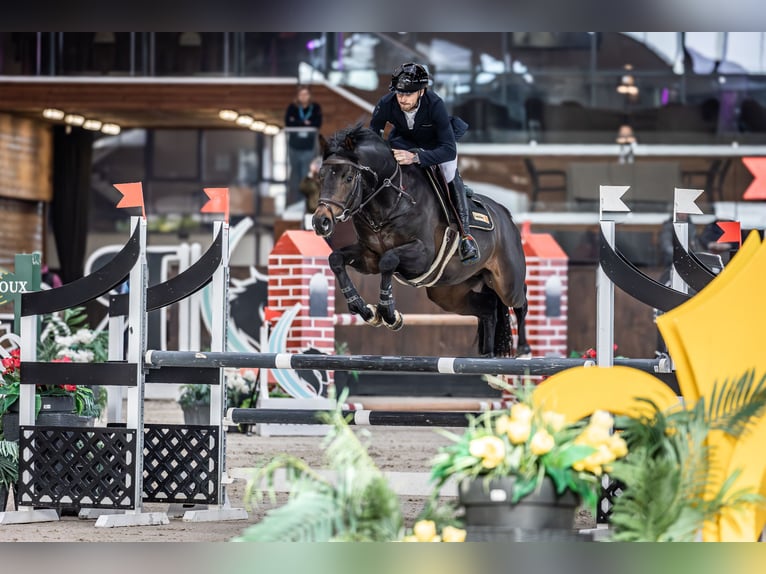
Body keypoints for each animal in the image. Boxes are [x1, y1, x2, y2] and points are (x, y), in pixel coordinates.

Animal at [308, 126, 532, 360]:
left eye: (349, 177)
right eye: (321, 176)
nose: (321, 222)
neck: (388, 203)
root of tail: (507, 216)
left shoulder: (422, 255)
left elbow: (388, 260)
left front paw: (389, 314)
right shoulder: (369, 255)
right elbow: (336, 259)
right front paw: (364, 310)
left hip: (506, 282)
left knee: (520, 300)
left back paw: (524, 349)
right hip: (449, 293)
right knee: (488, 308)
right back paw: (488, 355)